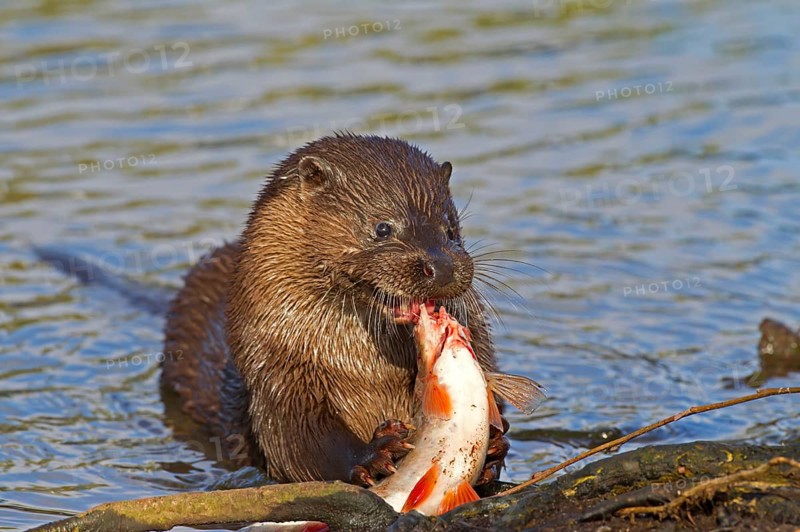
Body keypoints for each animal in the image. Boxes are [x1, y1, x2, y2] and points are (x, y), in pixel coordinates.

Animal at [161, 134, 508, 486]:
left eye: (450, 228)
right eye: (382, 228)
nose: (443, 267)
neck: (363, 370)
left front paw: (494, 444)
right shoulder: (277, 377)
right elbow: (300, 442)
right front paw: (374, 452)